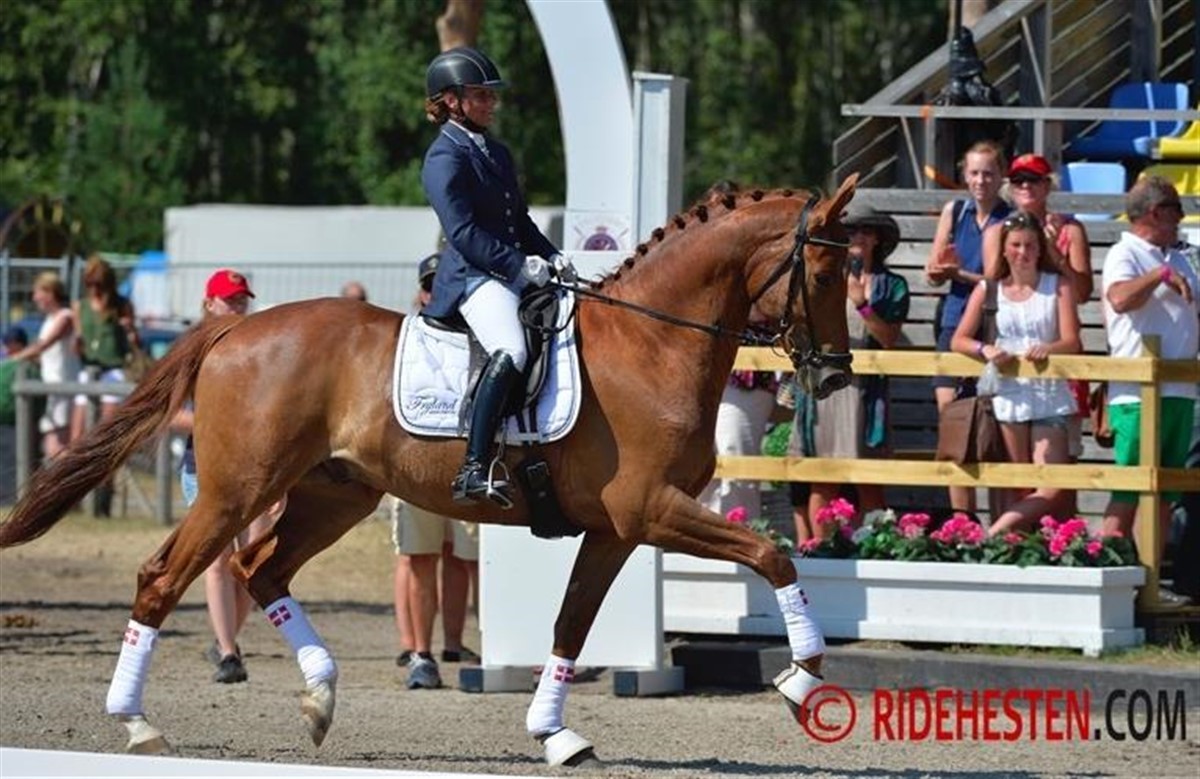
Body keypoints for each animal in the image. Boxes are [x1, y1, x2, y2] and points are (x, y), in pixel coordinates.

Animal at [0, 174, 859, 766]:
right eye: (822, 276)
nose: (836, 376)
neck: (651, 346)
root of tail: (233, 331)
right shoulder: (652, 507)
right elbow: (772, 553)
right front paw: (803, 677)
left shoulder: (617, 527)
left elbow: (572, 623)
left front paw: (554, 734)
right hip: (236, 489)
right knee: (164, 577)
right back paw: (137, 720)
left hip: (331, 493)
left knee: (260, 568)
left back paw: (320, 697)